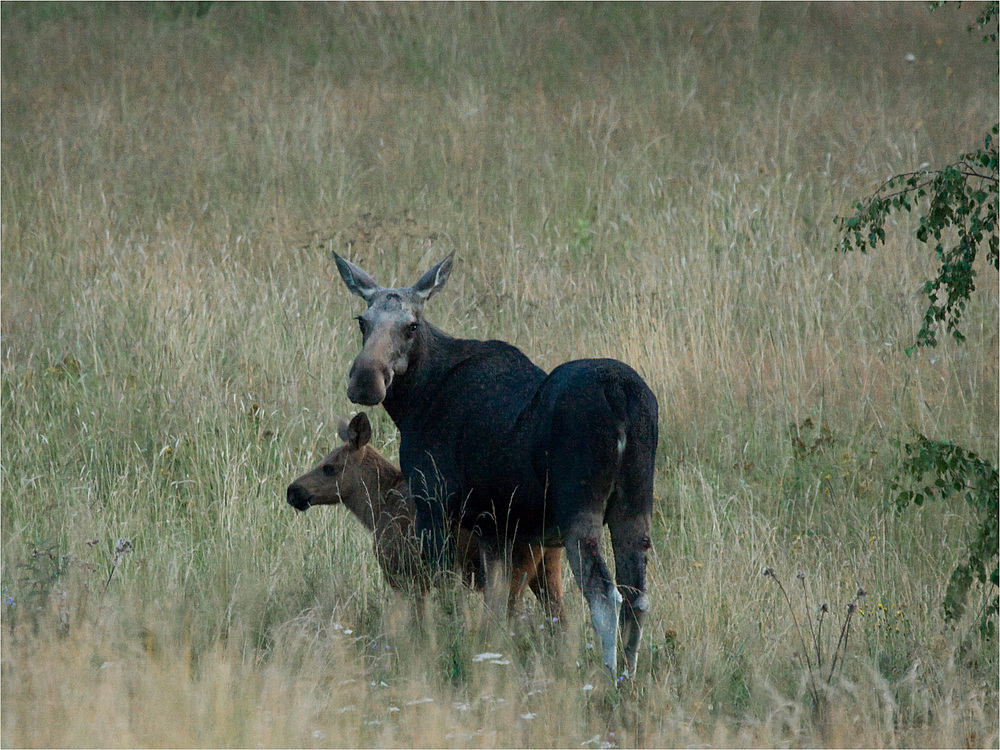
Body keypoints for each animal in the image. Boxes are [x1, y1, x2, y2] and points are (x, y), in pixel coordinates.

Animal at [336, 254, 660, 680]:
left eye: (412, 325)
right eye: (362, 320)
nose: (364, 381)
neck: (414, 402)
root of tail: (621, 394)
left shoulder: (433, 502)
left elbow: (445, 593)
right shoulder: (495, 528)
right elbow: (497, 602)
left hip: (579, 508)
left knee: (605, 595)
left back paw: (609, 679)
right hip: (633, 506)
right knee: (636, 596)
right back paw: (628, 678)